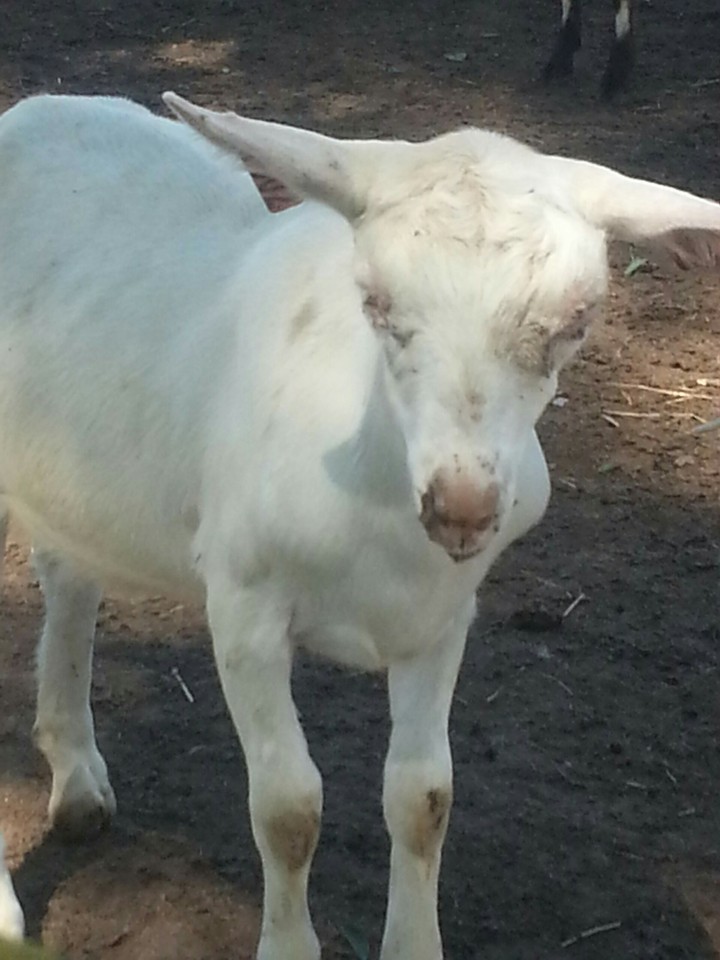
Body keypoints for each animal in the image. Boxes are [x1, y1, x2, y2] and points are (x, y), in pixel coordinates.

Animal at [0, 91, 718, 958]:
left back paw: (76, 784)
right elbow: (289, 808)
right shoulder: (242, 602)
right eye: (375, 303)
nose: (462, 504)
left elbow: (424, 797)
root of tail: (42, 107)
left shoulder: (441, 617)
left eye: (577, 319)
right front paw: (286, 946)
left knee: (68, 577)